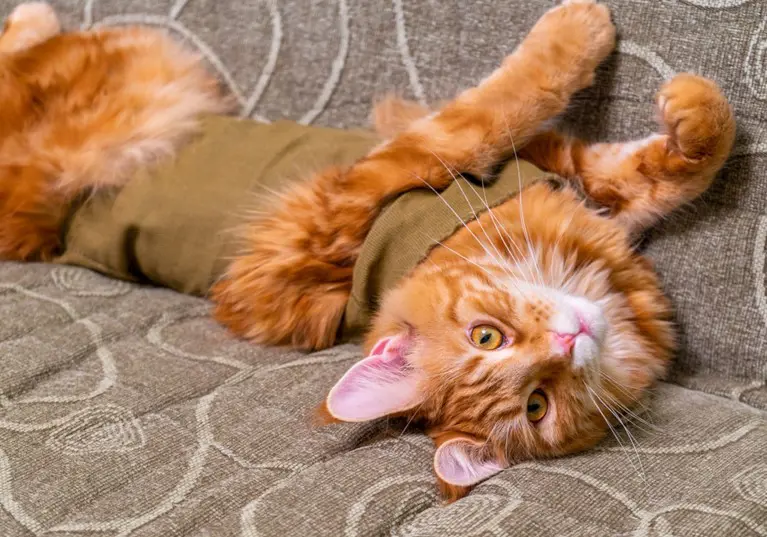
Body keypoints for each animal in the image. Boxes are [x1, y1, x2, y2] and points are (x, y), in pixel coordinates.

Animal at [0, 0, 736, 498]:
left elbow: (669, 166)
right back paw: (35, 15)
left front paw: (694, 108)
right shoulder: (400, 164)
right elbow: (507, 100)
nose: (569, 339)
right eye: (491, 342)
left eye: (537, 402)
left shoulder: (570, 181)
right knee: (24, 53)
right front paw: (581, 26)